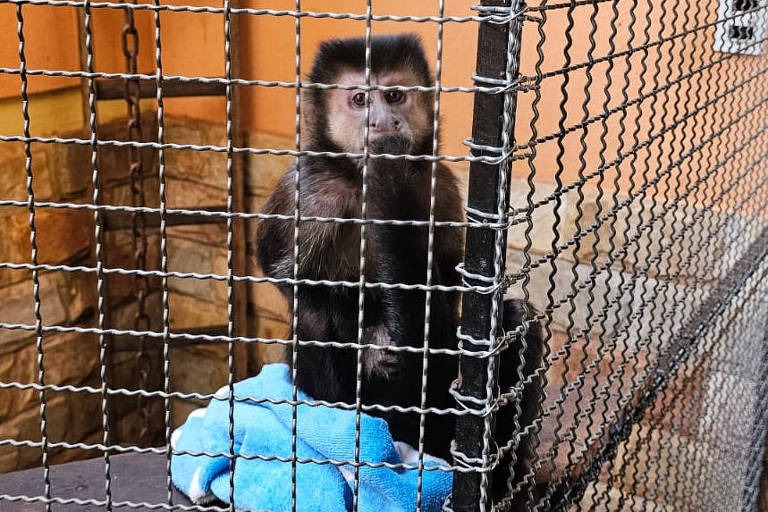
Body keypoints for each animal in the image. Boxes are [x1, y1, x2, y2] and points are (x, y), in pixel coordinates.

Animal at [255, 34, 543, 508]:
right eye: (359, 99)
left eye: (393, 96)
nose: (382, 121)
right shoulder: (309, 190)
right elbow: (284, 274)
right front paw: (374, 341)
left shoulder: (437, 183)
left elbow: (450, 283)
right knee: (312, 318)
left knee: (517, 319)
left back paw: (501, 476)